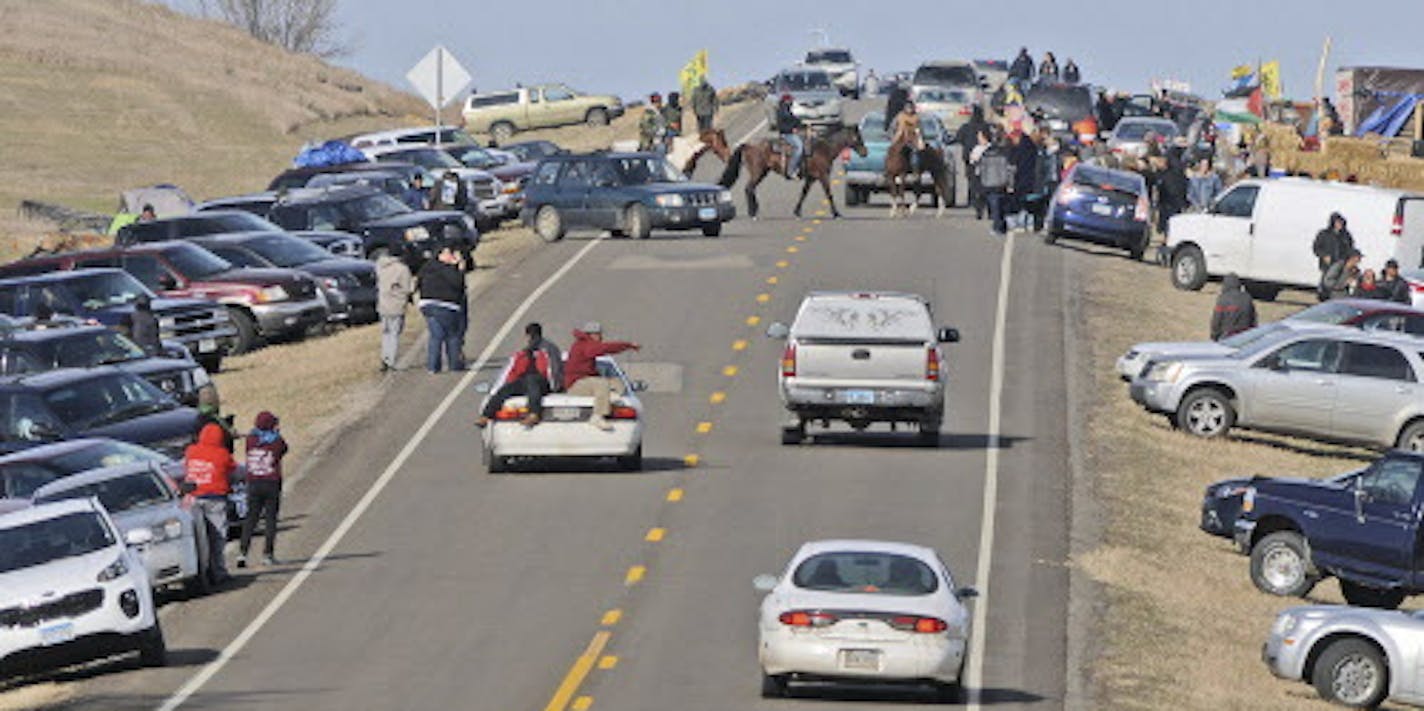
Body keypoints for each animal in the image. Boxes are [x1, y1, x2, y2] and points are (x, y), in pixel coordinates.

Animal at [723, 125, 865, 219]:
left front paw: (797, 212)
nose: (865, 152)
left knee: (751, 189)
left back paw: (754, 211)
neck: (824, 149)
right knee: (749, 188)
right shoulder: (823, 176)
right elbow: (829, 194)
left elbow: (803, 193)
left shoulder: (811, 178)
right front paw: (836, 213)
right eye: (858, 138)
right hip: (757, 172)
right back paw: (752, 213)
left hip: (762, 172)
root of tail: (747, 145)